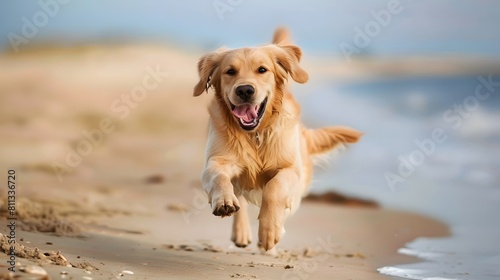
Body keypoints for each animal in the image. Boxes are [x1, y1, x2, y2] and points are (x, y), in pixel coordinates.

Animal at [193, 27, 362, 250]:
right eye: (230, 71)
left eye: (262, 70)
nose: (245, 90)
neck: (255, 135)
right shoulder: (217, 161)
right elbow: (219, 177)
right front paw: (224, 202)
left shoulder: (291, 168)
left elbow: (275, 187)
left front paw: (270, 230)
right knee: (240, 197)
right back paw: (241, 232)